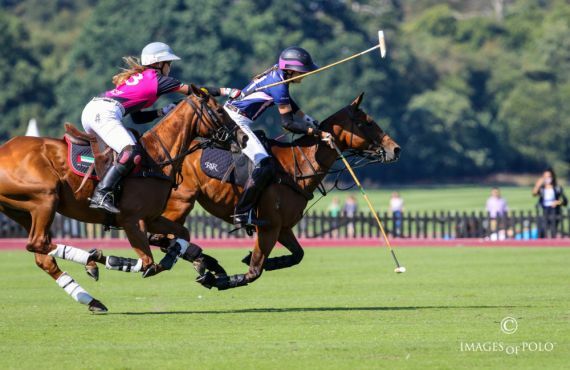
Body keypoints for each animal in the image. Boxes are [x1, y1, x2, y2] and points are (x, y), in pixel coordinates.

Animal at [0, 84, 231, 312]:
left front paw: (193, 260)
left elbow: (181, 234)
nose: (238, 138)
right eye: (220, 111)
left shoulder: (152, 218)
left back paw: (92, 299)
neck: (156, 158)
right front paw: (107, 258)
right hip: (46, 199)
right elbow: (148, 263)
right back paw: (91, 261)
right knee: (38, 243)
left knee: (42, 255)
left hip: (24, 211)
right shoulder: (132, 220)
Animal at [153, 92, 398, 290]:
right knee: (159, 236)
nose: (395, 149)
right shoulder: (268, 226)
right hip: (180, 203)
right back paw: (204, 262)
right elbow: (254, 271)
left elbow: (297, 255)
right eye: (366, 122)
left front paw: (267, 261)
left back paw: (204, 262)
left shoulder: (283, 227)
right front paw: (220, 278)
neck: (298, 165)